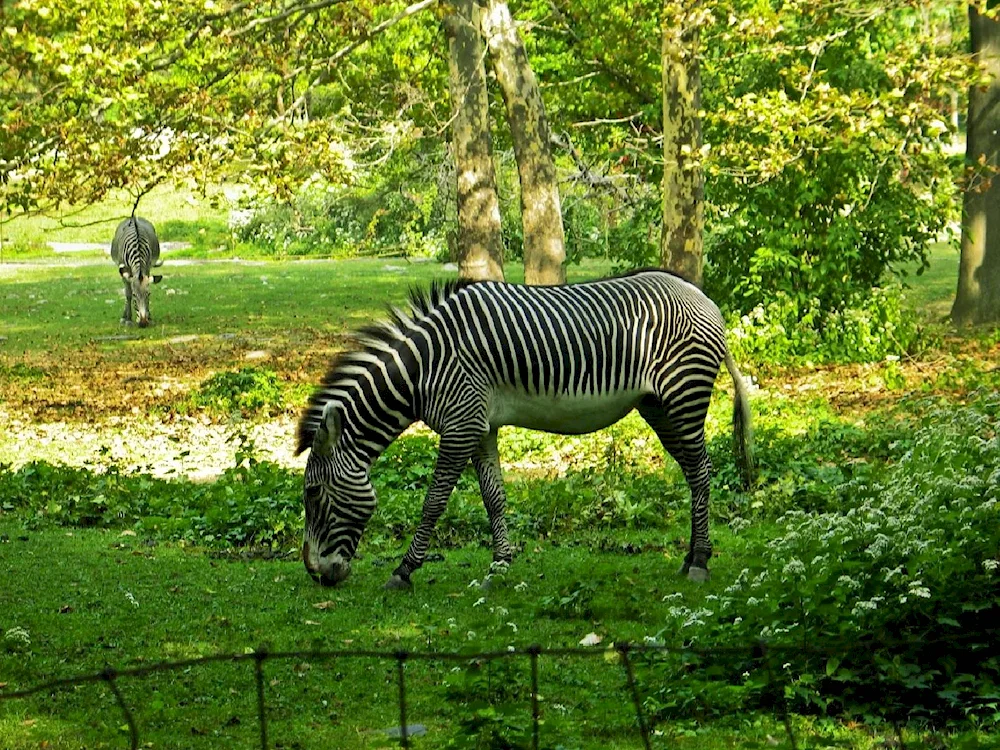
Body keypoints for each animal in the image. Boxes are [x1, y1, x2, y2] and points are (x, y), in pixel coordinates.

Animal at [296, 270, 756, 592]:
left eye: (313, 494)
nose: (317, 575)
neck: (423, 368)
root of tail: (704, 298)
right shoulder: (480, 427)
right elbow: (493, 499)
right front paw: (500, 565)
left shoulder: (460, 425)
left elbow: (434, 502)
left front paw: (404, 570)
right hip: (659, 407)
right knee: (693, 472)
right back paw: (689, 557)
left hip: (684, 396)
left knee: (702, 472)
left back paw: (700, 562)